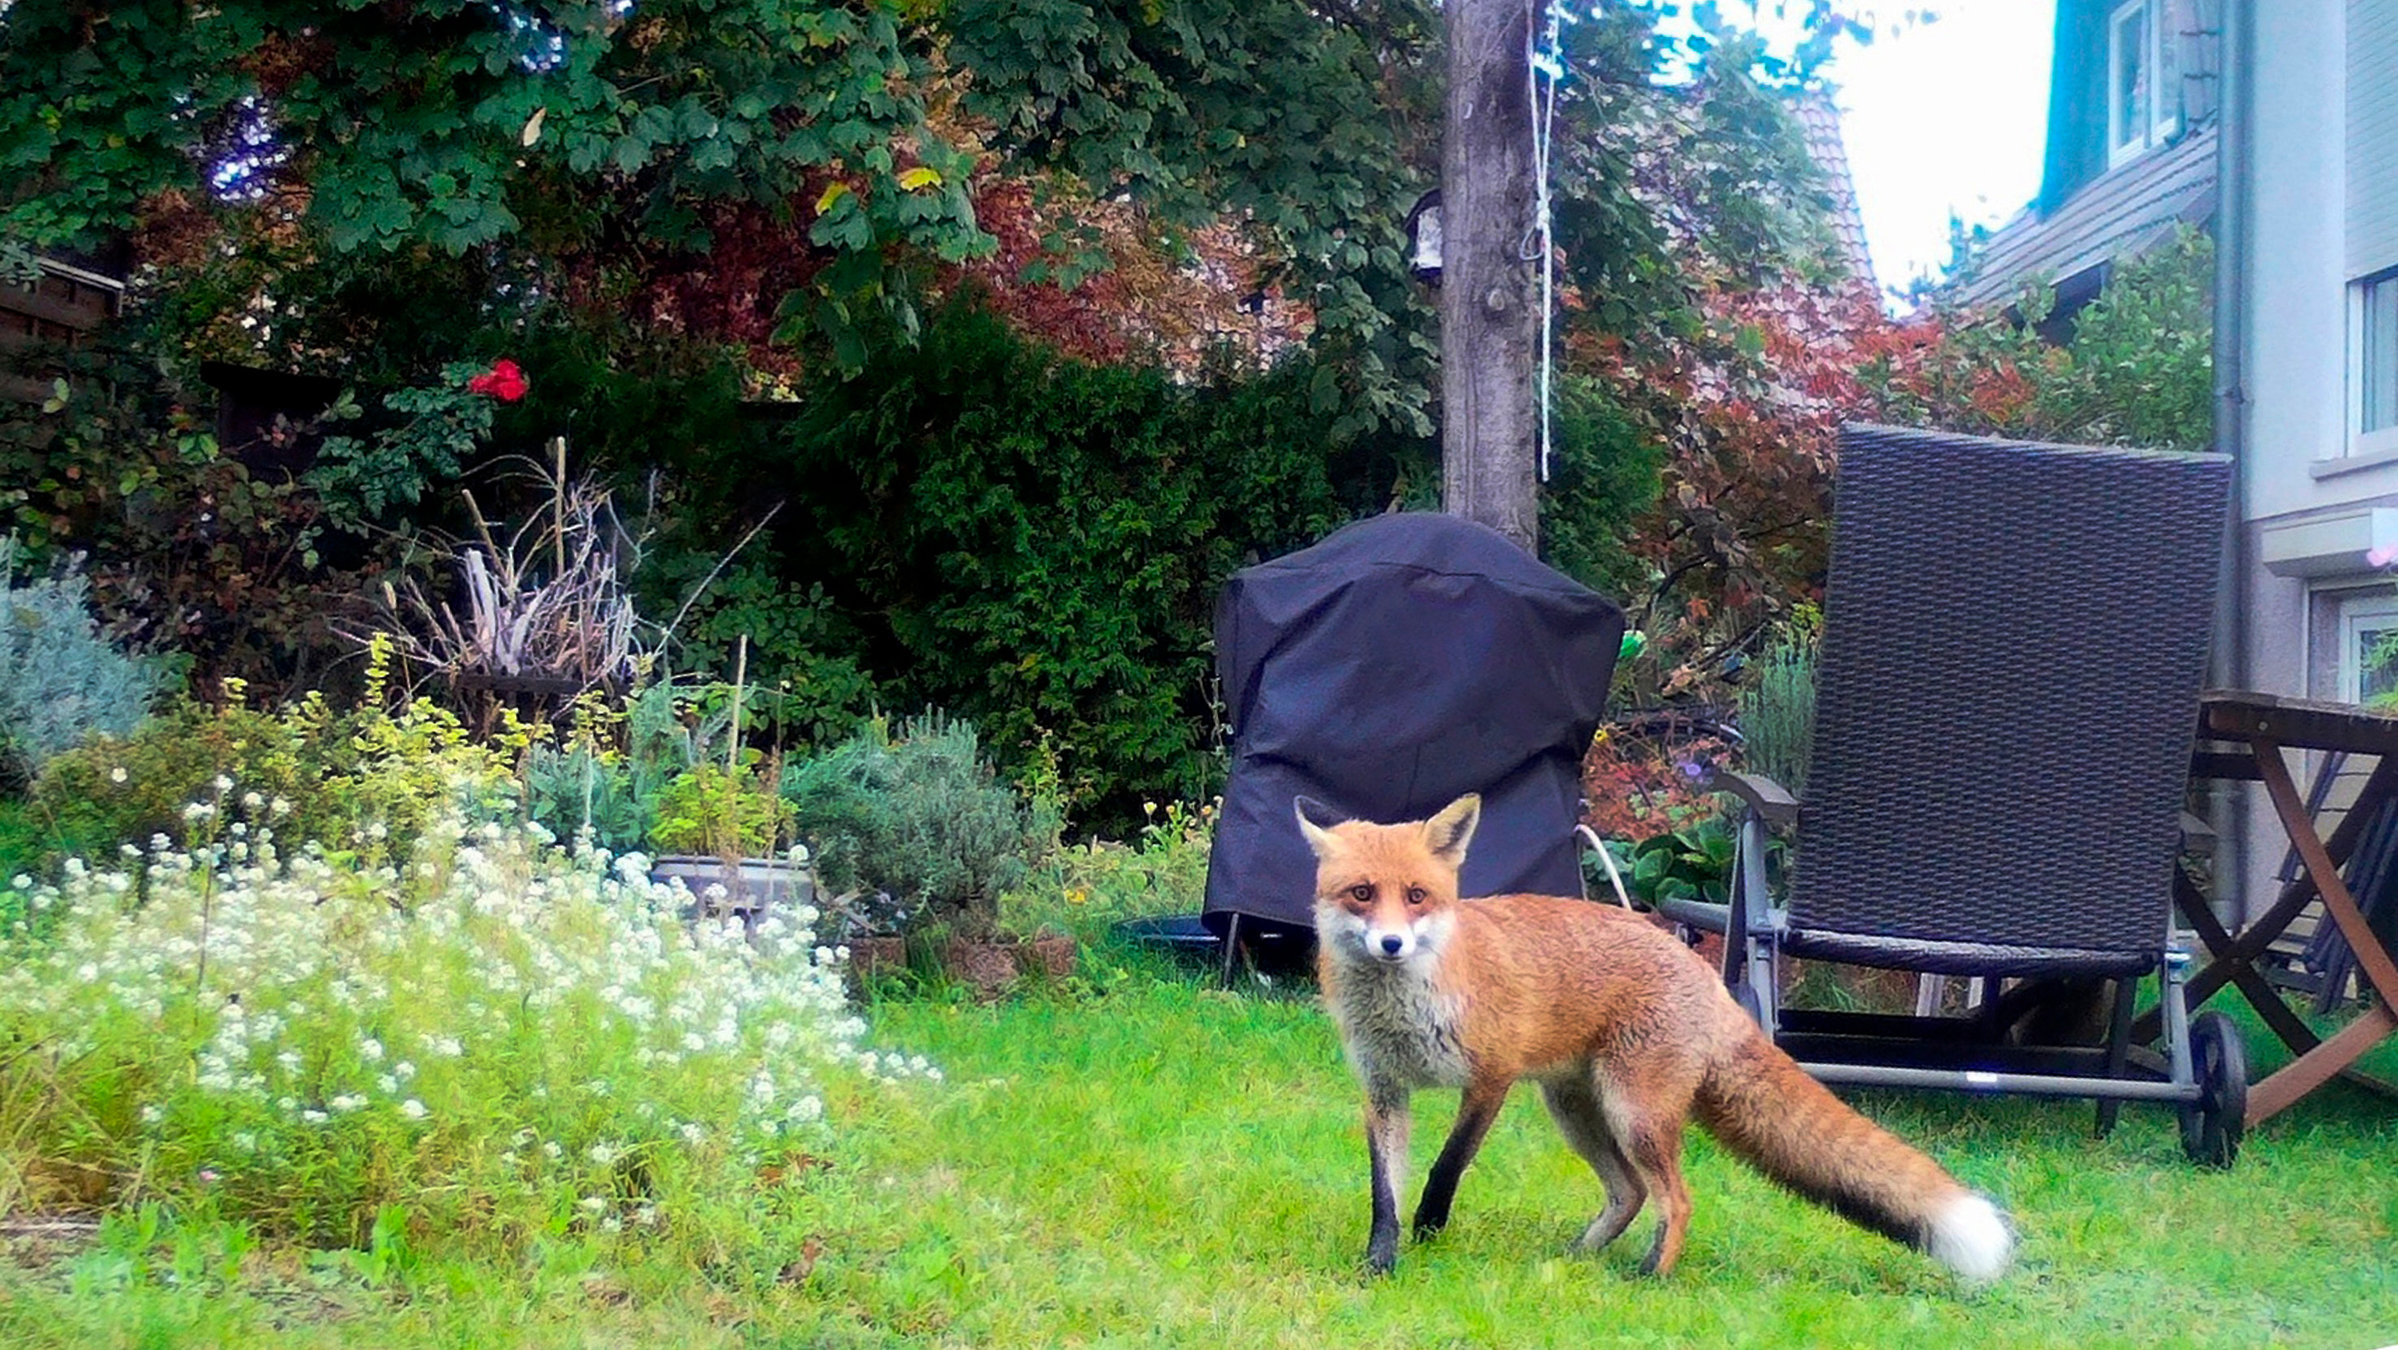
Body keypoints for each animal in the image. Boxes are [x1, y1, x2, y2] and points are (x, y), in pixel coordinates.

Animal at [1297, 792, 2013, 1285]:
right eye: (1361, 893)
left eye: (1417, 895)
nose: (1391, 944)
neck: (1404, 1008)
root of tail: (1703, 969)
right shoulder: (1383, 1090)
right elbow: (1383, 1192)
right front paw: (1381, 1263)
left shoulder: (1491, 1078)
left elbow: (1445, 1168)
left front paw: (1429, 1234)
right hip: (1579, 1112)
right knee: (1631, 1193)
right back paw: (1576, 1261)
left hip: (1633, 1114)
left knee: (1677, 1197)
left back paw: (1651, 1276)